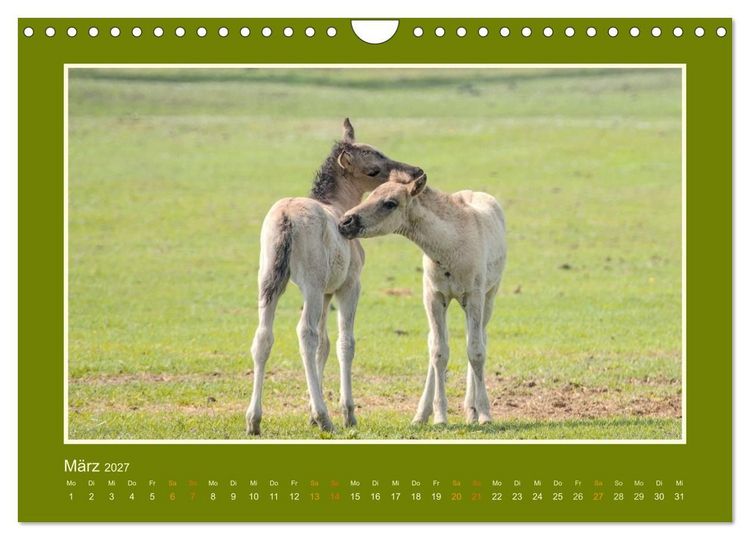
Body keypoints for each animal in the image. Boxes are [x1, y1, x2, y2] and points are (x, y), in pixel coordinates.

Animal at [246, 119, 424, 435]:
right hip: (311, 286)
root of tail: (286, 218)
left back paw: (254, 420)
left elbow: (325, 345)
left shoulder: (328, 291)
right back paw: (324, 417)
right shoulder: (347, 287)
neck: (337, 205)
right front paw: (347, 413)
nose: (414, 172)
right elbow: (344, 343)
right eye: (374, 168)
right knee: (305, 333)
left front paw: (309, 412)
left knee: (264, 337)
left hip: (269, 282)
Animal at [338, 171, 506, 426]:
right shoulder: (434, 297)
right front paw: (439, 417)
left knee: (479, 338)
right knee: (434, 344)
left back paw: (471, 409)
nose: (344, 223)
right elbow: (438, 352)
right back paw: (423, 414)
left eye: (390, 203)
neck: (450, 245)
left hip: (490, 296)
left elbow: (476, 352)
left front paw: (485, 414)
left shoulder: (475, 297)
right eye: (371, 194)